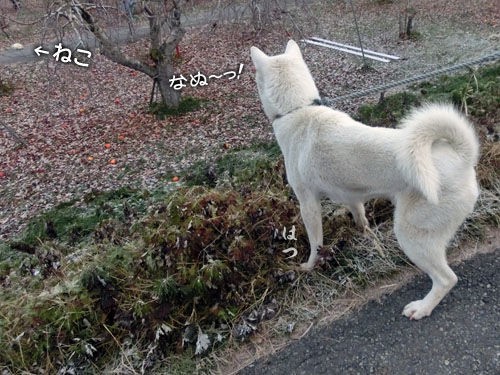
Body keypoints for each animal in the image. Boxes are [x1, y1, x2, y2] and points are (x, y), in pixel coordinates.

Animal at [252, 40, 478, 320]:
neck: (299, 109)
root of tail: (463, 156)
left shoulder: (308, 203)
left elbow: (316, 243)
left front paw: (309, 266)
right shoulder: (352, 196)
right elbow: (360, 217)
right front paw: (366, 234)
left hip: (410, 235)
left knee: (447, 279)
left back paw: (422, 308)